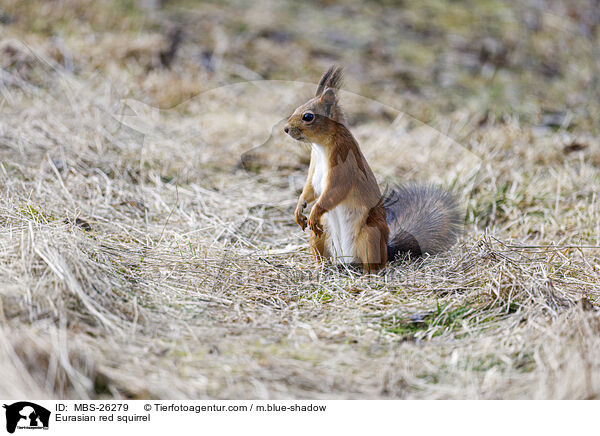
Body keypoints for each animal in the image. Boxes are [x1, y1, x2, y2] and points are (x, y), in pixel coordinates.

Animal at [284, 66, 462, 270]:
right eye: (296, 108)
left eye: (308, 116)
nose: (286, 129)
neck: (321, 146)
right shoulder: (313, 167)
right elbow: (309, 188)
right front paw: (299, 208)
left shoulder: (344, 161)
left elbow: (335, 191)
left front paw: (314, 212)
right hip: (319, 236)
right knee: (322, 253)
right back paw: (320, 268)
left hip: (370, 236)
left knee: (374, 264)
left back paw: (368, 273)